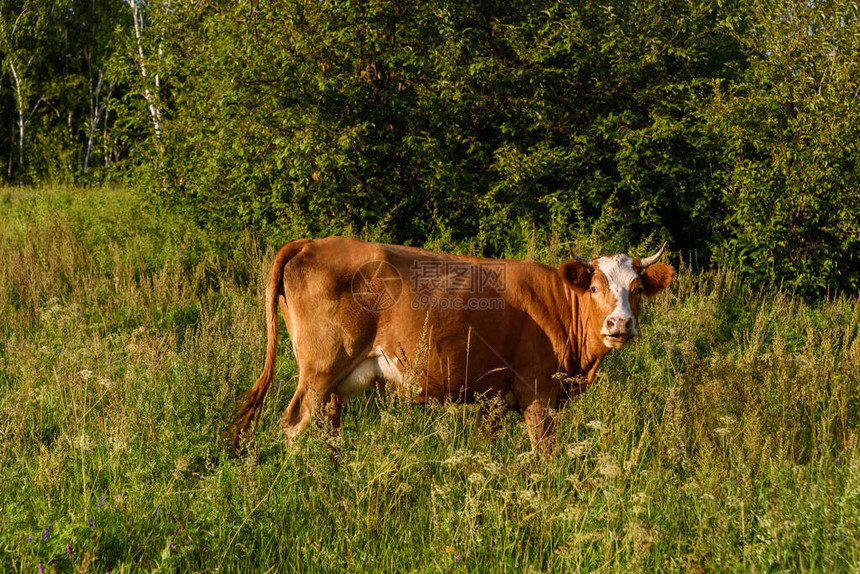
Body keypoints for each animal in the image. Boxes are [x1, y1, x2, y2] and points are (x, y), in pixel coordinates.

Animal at [228, 237, 672, 454]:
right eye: (595, 287)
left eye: (636, 289)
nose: (620, 324)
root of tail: (309, 241)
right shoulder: (539, 394)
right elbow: (545, 457)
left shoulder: (494, 398)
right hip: (319, 368)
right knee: (293, 424)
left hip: (338, 379)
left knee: (328, 424)